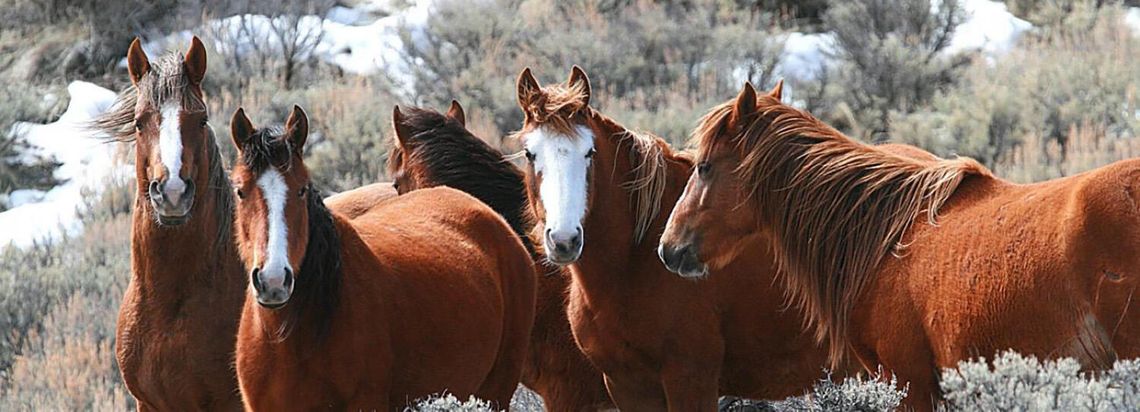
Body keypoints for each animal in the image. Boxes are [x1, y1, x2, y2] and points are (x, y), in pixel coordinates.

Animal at [512, 67, 833, 411]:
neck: (634, 261)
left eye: (589, 152)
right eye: (530, 154)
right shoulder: (626, 385)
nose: (564, 240)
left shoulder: (691, 379)